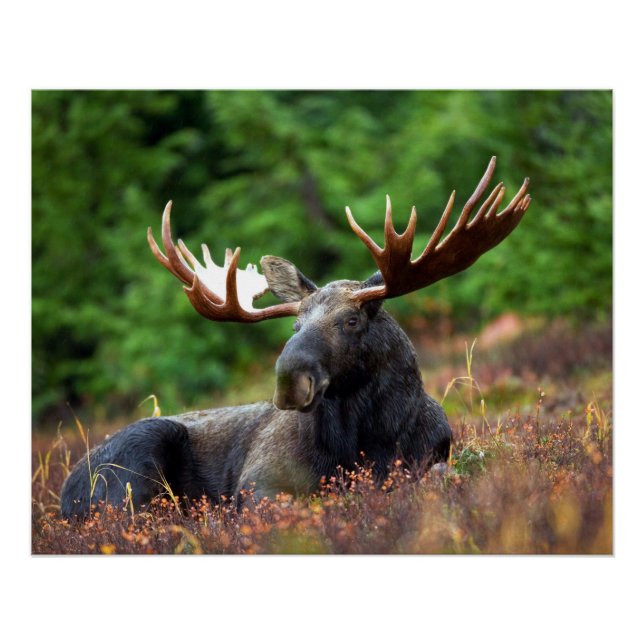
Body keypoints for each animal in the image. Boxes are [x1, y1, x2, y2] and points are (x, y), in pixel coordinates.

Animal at [60, 156, 531, 518]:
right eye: (295, 326)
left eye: (351, 321)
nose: (289, 380)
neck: (369, 440)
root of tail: (64, 493)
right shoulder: (258, 483)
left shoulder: (431, 457)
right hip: (136, 460)